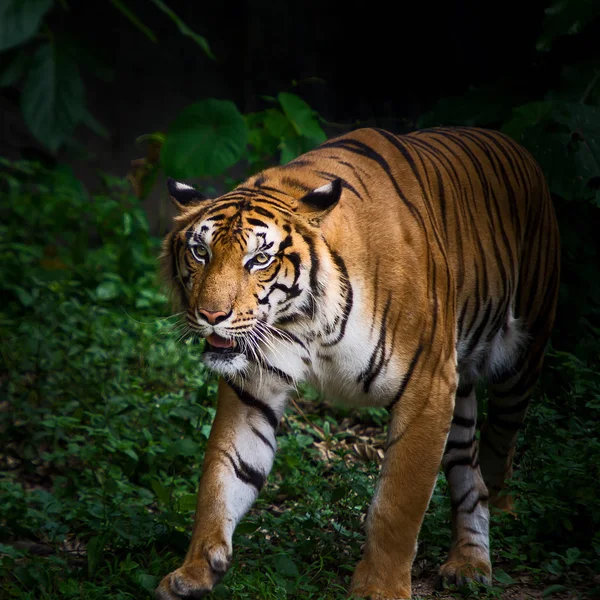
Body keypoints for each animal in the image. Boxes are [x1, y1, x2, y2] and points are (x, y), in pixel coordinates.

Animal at [154, 124, 556, 596]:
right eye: (200, 252)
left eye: (260, 259)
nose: (211, 315)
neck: (303, 324)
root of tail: (515, 145)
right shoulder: (252, 389)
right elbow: (221, 477)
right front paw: (195, 571)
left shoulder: (427, 387)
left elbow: (397, 504)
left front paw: (379, 589)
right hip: (459, 395)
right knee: (468, 473)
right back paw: (469, 565)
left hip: (521, 358)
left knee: (498, 447)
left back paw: (501, 517)